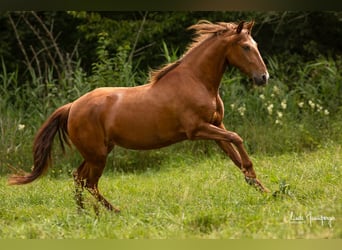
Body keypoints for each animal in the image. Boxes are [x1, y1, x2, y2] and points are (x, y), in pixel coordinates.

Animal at [8, 20, 270, 212]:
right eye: (246, 46)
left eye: (256, 44)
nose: (263, 77)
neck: (196, 80)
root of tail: (71, 107)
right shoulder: (197, 129)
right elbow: (237, 138)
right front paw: (257, 180)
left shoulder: (216, 125)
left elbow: (234, 154)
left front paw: (263, 189)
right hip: (97, 155)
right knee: (89, 182)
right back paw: (113, 212)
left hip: (97, 152)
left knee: (78, 177)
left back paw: (85, 213)